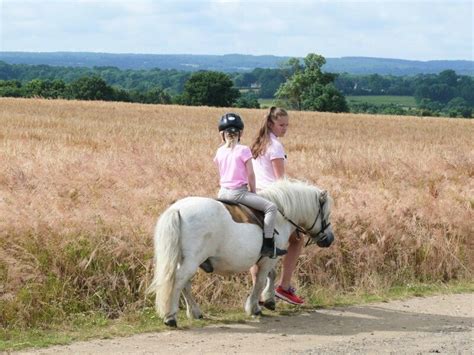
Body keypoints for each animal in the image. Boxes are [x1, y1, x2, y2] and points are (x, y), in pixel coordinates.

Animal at [147, 179, 334, 326]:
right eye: (327, 214)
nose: (330, 239)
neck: (280, 214)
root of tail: (177, 209)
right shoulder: (268, 259)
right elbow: (261, 280)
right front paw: (254, 307)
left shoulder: (265, 258)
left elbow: (269, 276)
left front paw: (268, 300)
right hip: (192, 260)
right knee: (179, 281)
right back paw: (170, 317)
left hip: (184, 259)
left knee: (184, 284)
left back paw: (194, 312)